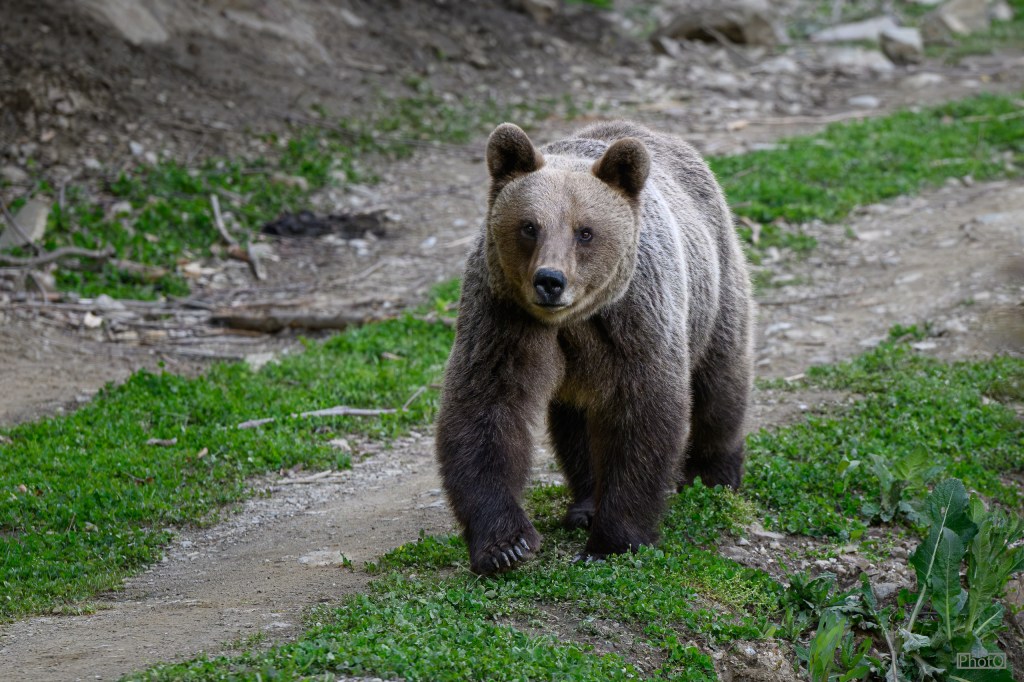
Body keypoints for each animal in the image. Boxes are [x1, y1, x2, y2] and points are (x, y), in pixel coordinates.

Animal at [435, 120, 753, 576]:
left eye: (585, 231)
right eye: (529, 226)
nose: (550, 280)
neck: (571, 321)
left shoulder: (635, 324)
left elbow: (641, 418)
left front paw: (612, 541)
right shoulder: (503, 321)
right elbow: (485, 410)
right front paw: (506, 545)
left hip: (713, 290)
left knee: (720, 382)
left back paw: (713, 477)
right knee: (575, 422)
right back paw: (584, 504)